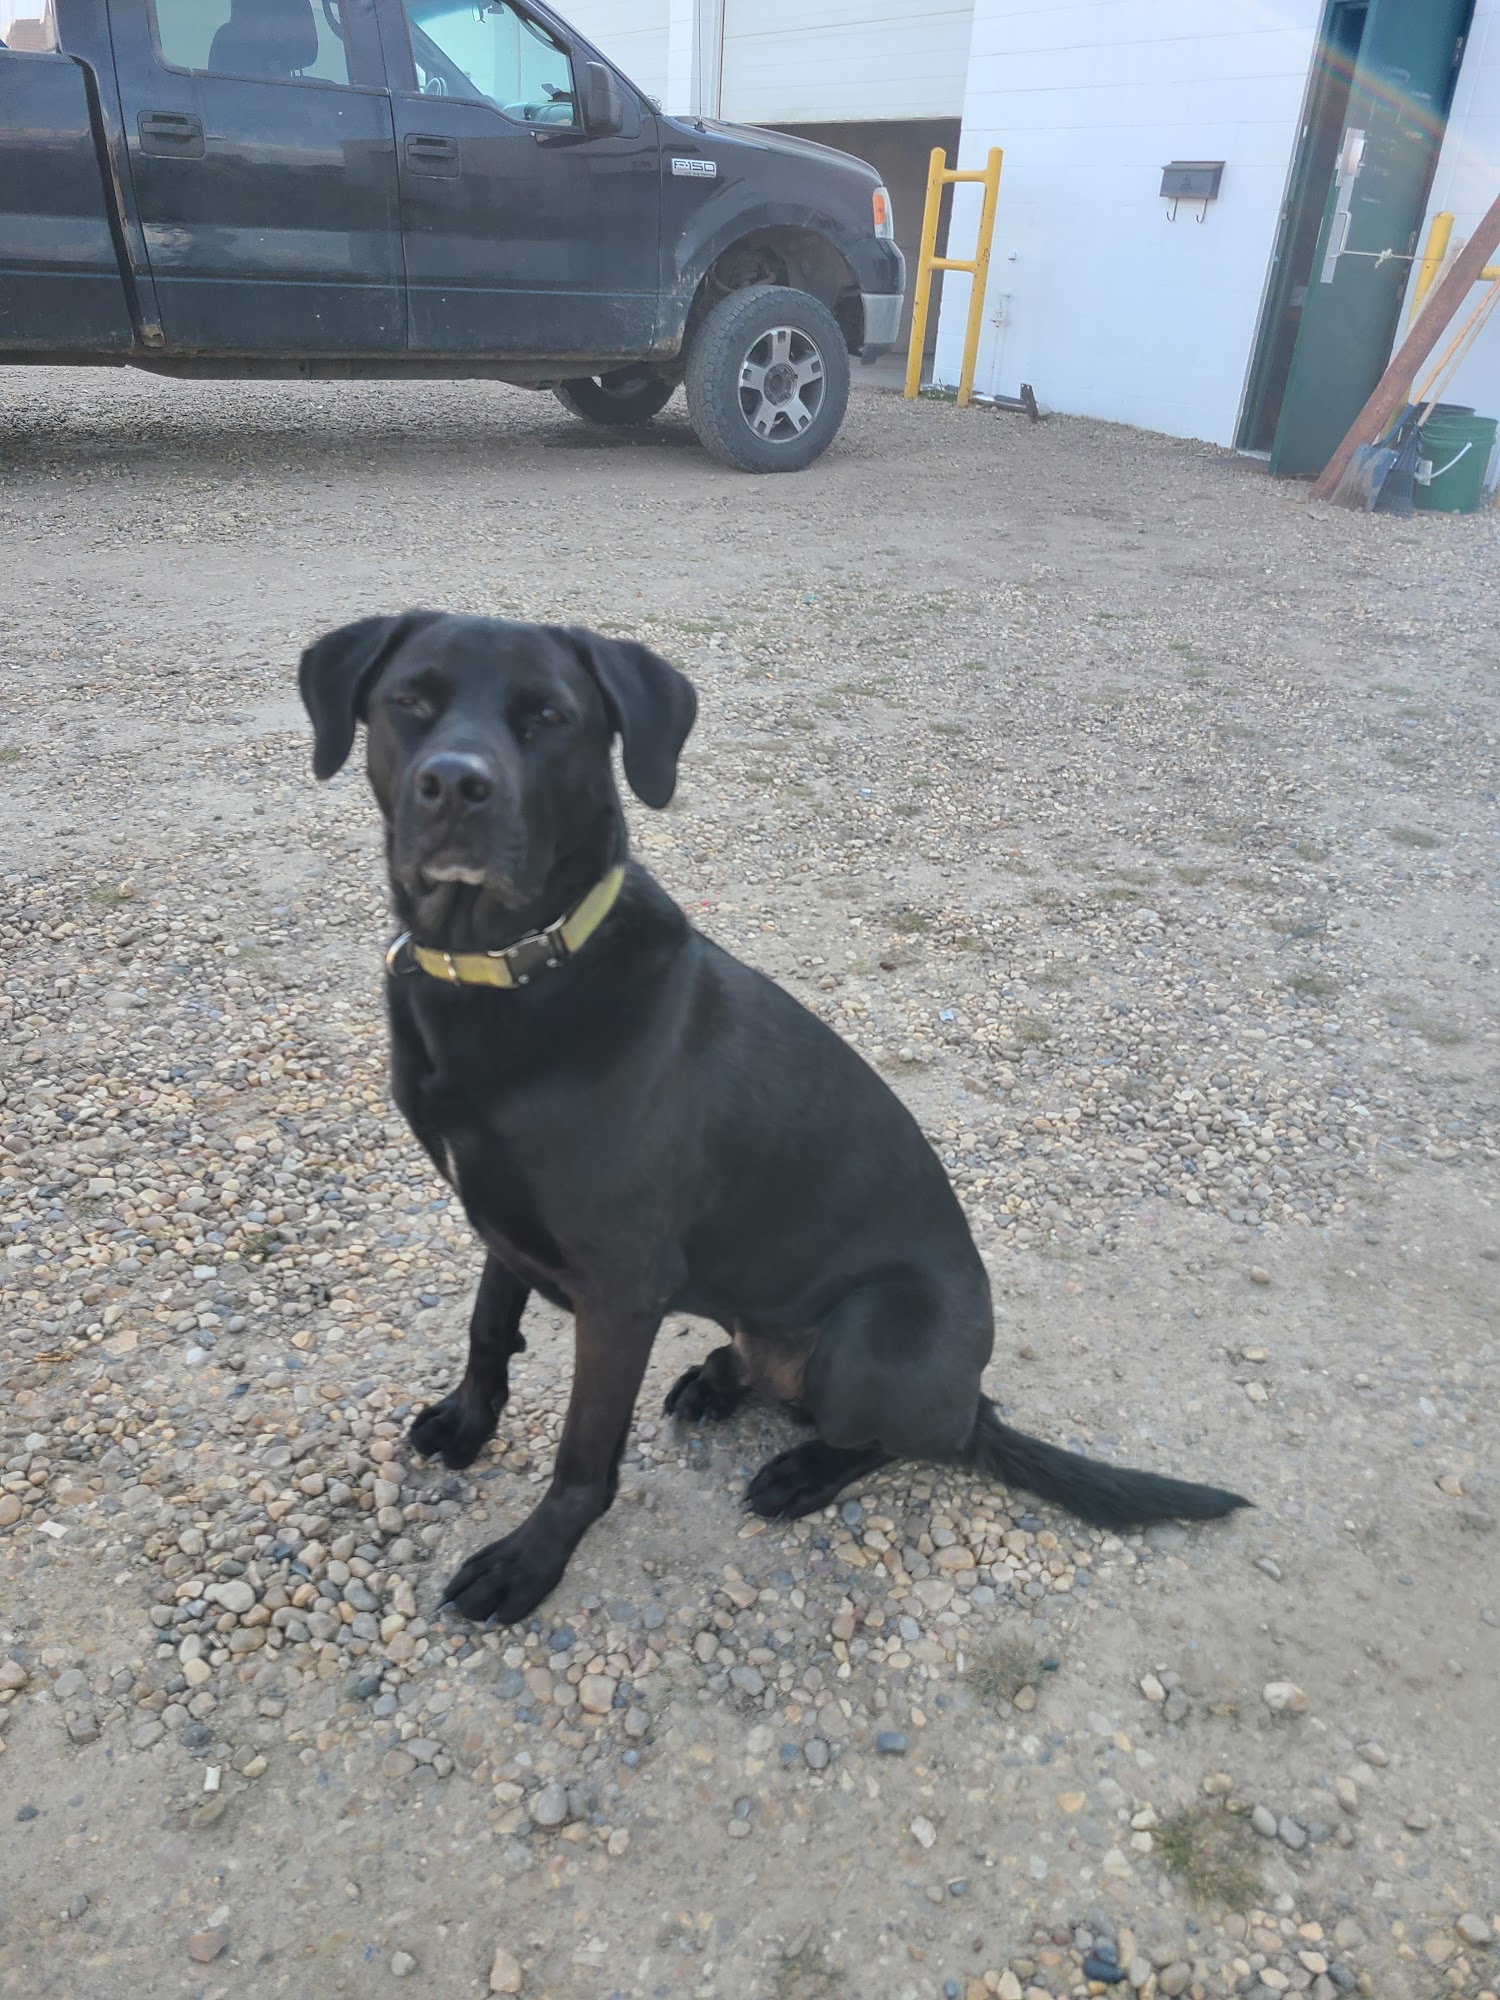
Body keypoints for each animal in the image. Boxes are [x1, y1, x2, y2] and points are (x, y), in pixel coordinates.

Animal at [299, 612, 1248, 1623]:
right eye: (410, 701)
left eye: (549, 716)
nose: (455, 784)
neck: (504, 970)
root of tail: (973, 1394)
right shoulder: (498, 1221)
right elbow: (487, 1329)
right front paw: (467, 1422)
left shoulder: (620, 1288)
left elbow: (583, 1455)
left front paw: (532, 1559)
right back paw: (717, 1380)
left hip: (878, 1338)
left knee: (910, 1441)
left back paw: (805, 1471)